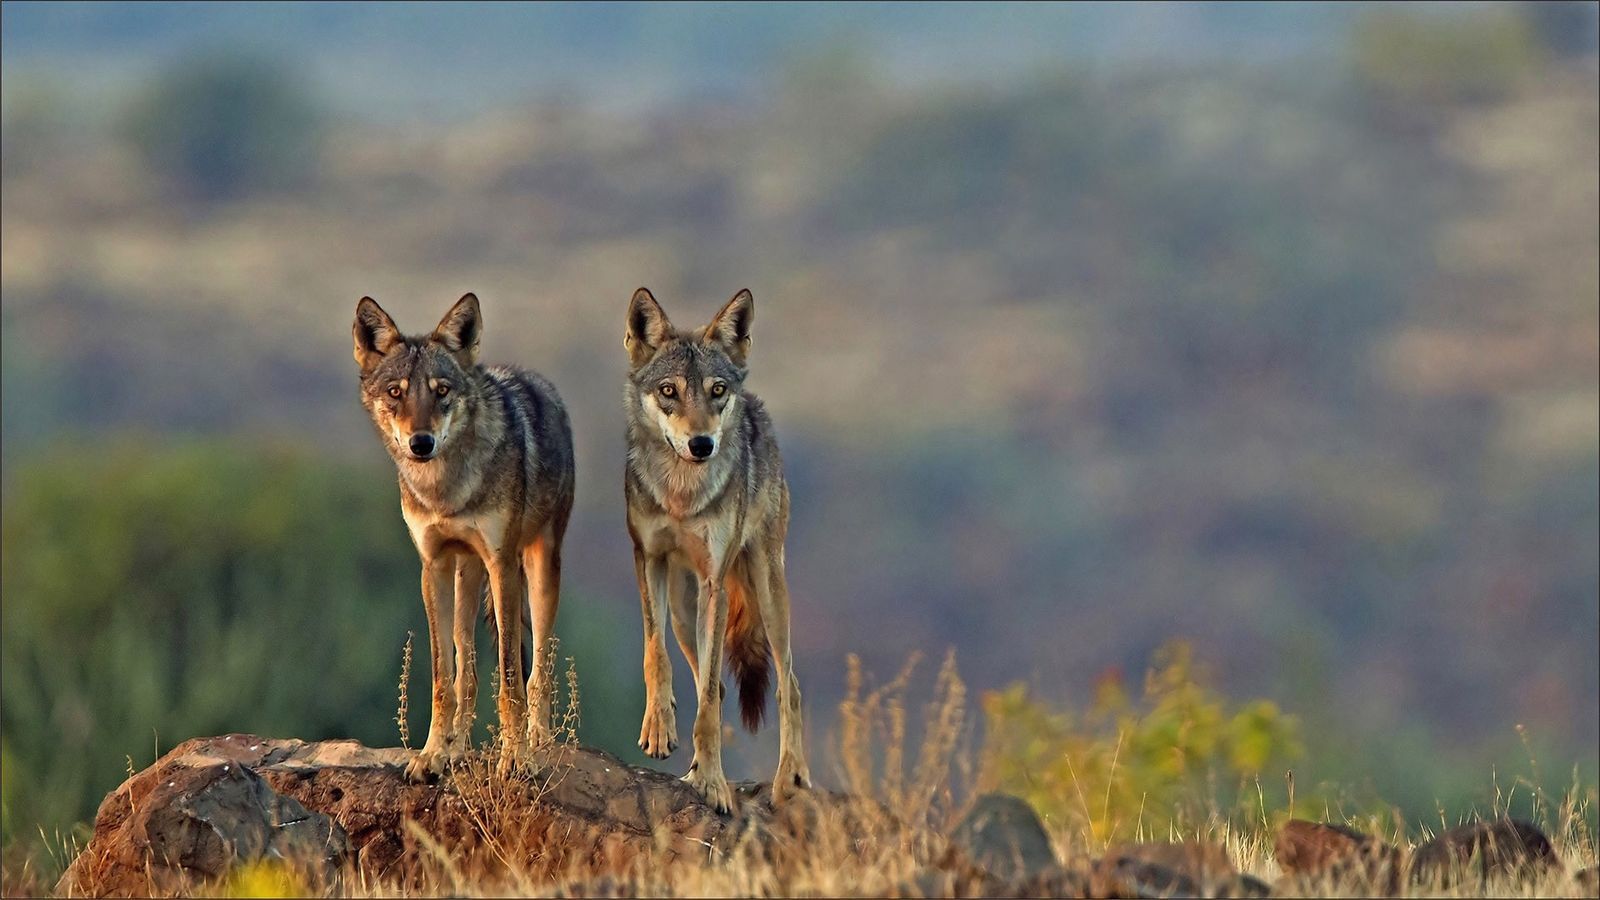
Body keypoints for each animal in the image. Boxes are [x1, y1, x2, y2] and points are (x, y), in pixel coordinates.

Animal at [353, 293, 575, 782]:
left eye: (441, 391)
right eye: (396, 392)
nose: (420, 443)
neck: (446, 489)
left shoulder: (502, 563)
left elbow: (510, 676)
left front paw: (515, 757)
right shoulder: (433, 565)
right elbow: (443, 675)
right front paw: (433, 754)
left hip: (539, 570)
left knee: (539, 670)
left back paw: (540, 744)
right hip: (464, 577)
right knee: (467, 671)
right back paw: (458, 749)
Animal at [622, 286, 811, 813]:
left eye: (717, 390)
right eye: (669, 391)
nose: (702, 443)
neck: (682, 494)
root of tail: (757, 407)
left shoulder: (715, 585)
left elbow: (706, 701)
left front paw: (713, 785)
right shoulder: (648, 561)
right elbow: (655, 656)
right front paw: (659, 730)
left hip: (767, 593)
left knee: (789, 685)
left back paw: (790, 779)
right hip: (684, 612)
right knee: (723, 686)